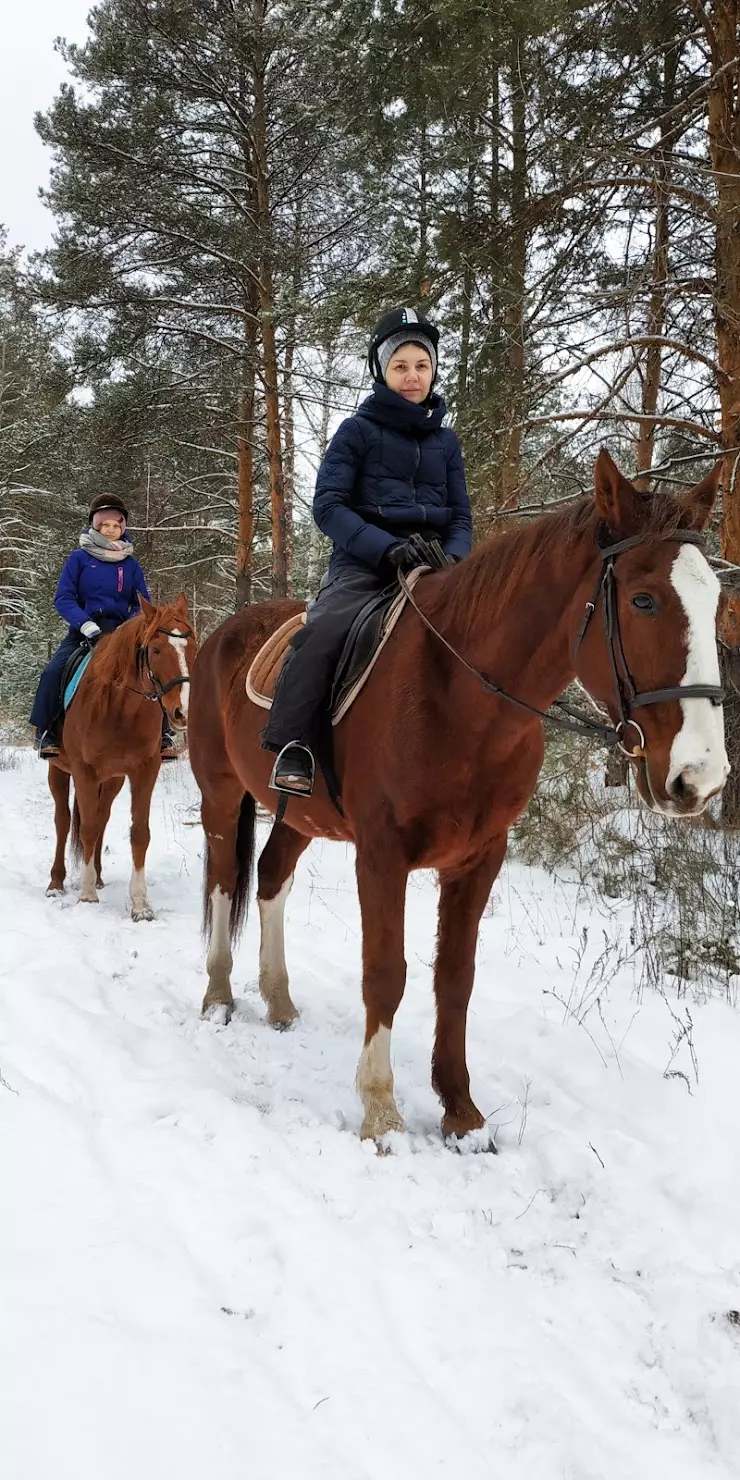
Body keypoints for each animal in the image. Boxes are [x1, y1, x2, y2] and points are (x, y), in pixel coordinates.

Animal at [45, 589, 196, 911]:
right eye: (155, 649)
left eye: (191, 646)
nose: (183, 712)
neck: (120, 709)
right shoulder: (84, 771)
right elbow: (86, 828)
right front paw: (87, 894)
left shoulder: (145, 770)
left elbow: (139, 833)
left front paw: (140, 904)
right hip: (58, 770)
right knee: (63, 821)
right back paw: (56, 883)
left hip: (112, 779)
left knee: (101, 817)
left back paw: (99, 876)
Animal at [187, 452, 725, 1142]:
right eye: (643, 599)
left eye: (716, 602)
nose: (701, 777)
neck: (459, 698)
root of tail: (221, 632)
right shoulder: (381, 854)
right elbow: (385, 974)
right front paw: (381, 1109)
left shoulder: (479, 857)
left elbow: (455, 978)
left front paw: (460, 1110)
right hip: (221, 794)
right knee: (226, 880)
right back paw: (219, 996)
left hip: (299, 813)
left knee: (271, 876)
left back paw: (278, 1000)